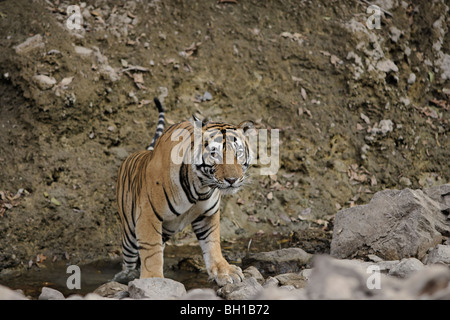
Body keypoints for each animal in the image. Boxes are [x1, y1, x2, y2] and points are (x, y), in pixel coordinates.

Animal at [116, 97, 255, 284]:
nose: (232, 180)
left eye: (238, 153)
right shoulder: (148, 215)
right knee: (130, 259)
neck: (200, 188)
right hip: (129, 234)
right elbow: (151, 250)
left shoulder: (208, 215)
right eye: (214, 154)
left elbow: (212, 243)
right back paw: (126, 275)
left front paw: (224, 271)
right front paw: (153, 280)